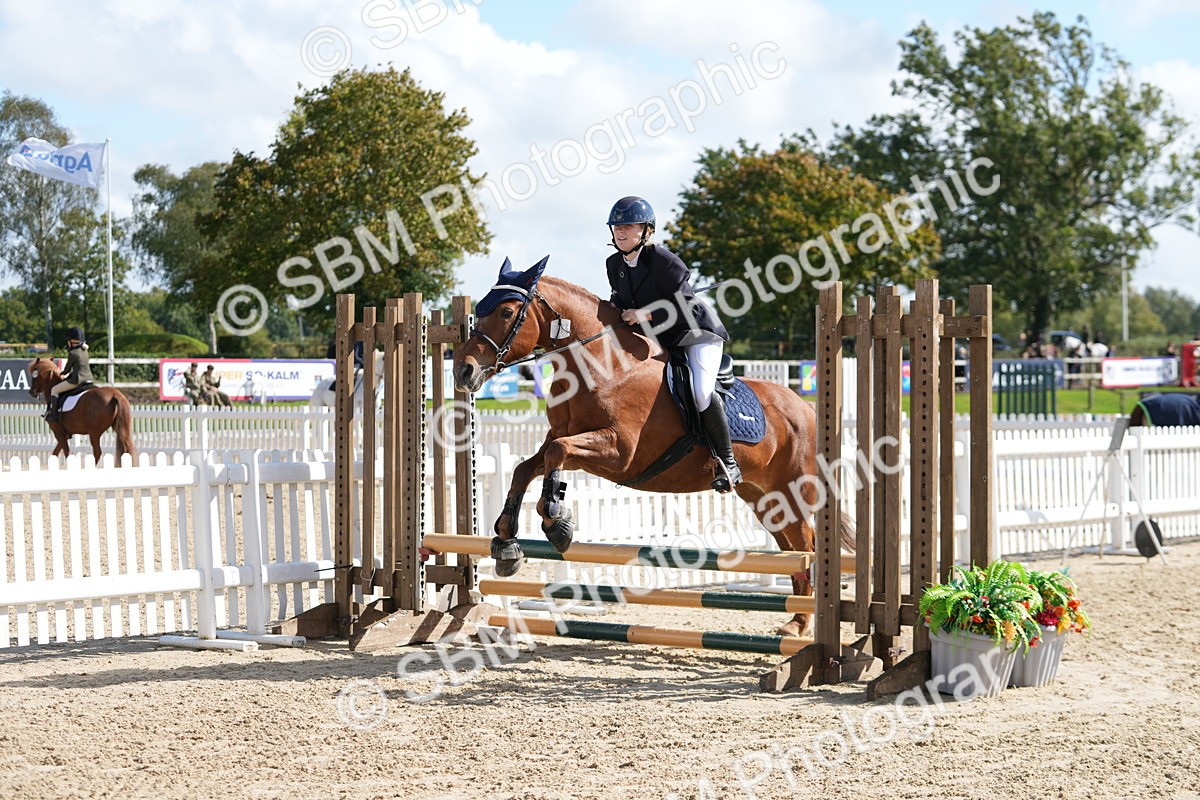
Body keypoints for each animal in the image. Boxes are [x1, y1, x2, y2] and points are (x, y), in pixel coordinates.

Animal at [452, 263, 853, 637]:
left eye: (506, 312)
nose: (462, 372)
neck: (604, 365)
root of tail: (807, 409)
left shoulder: (619, 452)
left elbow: (557, 456)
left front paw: (557, 523)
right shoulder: (562, 437)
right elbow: (526, 467)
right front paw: (506, 542)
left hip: (794, 491)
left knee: (807, 547)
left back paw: (800, 624)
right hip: (766, 498)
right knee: (793, 549)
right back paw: (795, 622)